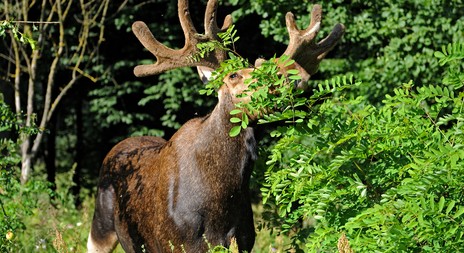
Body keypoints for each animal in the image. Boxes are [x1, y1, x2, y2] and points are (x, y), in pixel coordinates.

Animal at [87, 0, 342, 252]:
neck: (221, 200)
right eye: (234, 76)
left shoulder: (243, 241)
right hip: (100, 227)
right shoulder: (178, 244)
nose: (290, 79)